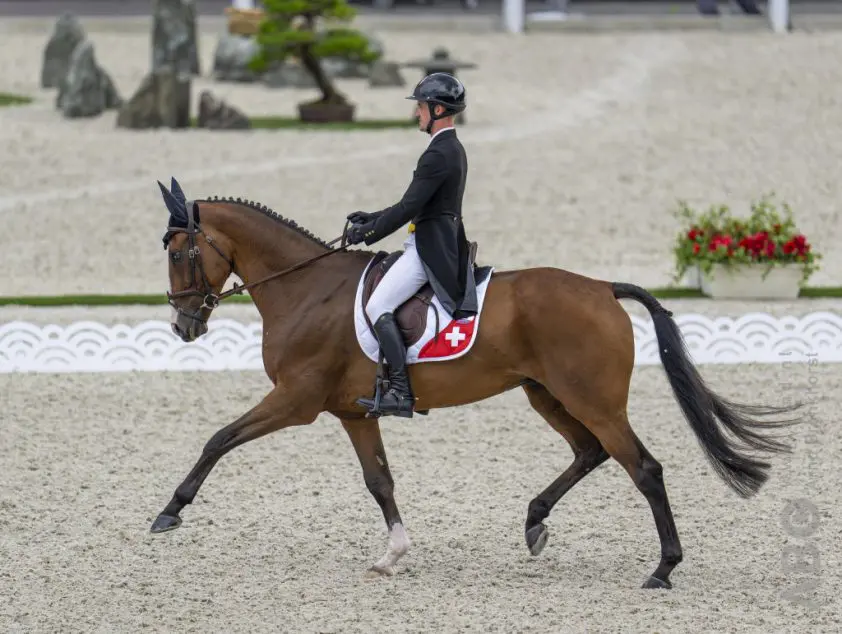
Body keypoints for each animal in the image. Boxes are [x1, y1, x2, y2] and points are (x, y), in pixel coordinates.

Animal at [150, 178, 803, 589]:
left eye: (180, 253)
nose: (184, 325)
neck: (307, 289)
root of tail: (602, 288)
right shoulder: (354, 413)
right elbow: (379, 482)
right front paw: (393, 556)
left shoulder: (296, 400)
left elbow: (219, 438)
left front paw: (169, 512)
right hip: (547, 395)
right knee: (589, 452)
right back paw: (535, 523)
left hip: (593, 400)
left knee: (643, 468)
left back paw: (663, 569)